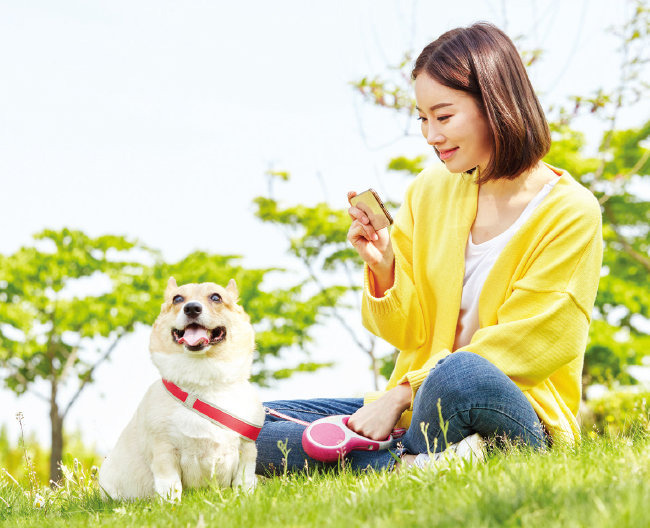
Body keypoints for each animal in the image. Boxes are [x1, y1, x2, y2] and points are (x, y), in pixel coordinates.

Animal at [98, 278, 264, 502]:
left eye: (216, 297)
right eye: (177, 299)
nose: (192, 308)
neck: (202, 382)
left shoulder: (246, 449)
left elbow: (244, 479)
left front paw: (245, 497)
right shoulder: (164, 451)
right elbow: (170, 484)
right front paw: (171, 504)